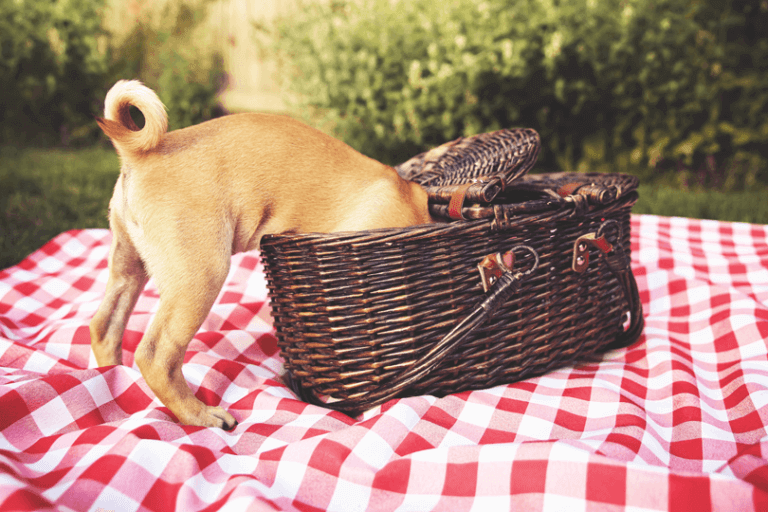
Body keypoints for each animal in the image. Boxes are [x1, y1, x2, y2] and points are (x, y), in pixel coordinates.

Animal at [89, 80, 436, 430]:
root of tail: (141, 154)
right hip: (201, 277)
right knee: (157, 356)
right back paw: (199, 415)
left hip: (128, 266)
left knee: (105, 326)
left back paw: (114, 376)